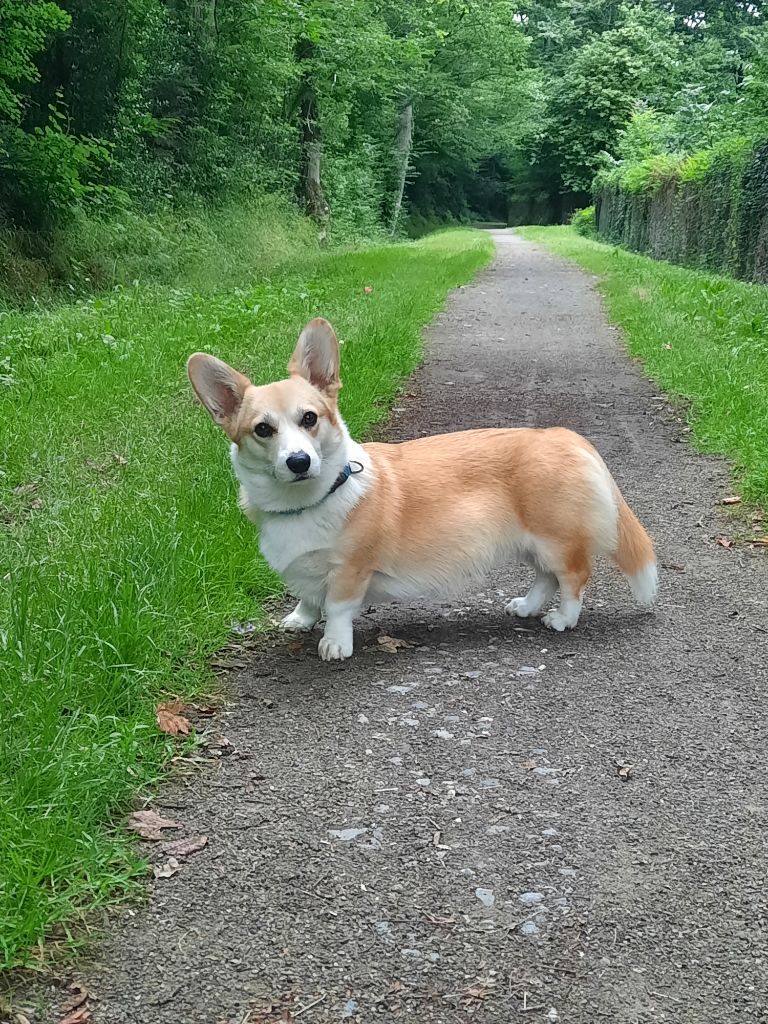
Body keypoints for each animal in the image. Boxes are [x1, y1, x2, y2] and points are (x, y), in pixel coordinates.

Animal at [189, 315, 659, 659]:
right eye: (262, 430)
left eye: (310, 418)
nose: (299, 462)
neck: (311, 500)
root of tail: (566, 436)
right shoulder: (307, 570)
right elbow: (307, 595)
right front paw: (301, 619)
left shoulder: (351, 569)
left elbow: (337, 607)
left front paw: (335, 643)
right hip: (530, 542)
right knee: (546, 577)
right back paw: (525, 606)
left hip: (556, 539)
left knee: (574, 577)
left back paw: (563, 619)